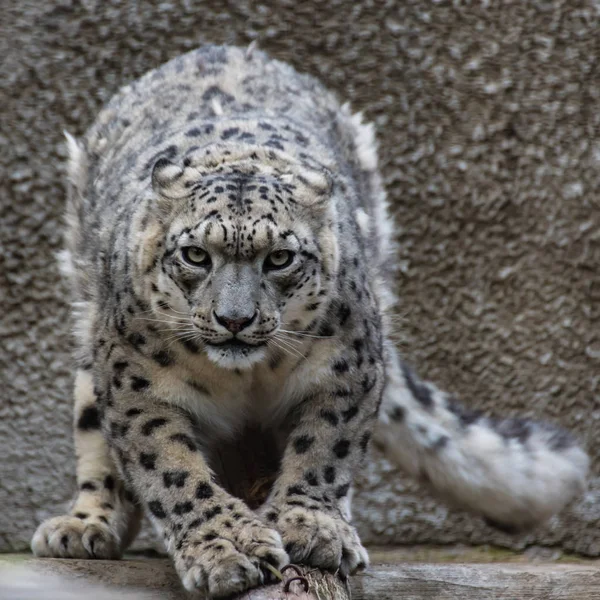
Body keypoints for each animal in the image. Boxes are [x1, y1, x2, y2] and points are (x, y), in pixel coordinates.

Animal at [30, 44, 588, 596]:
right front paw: (227, 547)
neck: (244, 378)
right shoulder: (137, 381)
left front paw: (312, 528)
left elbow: (325, 447)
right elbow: (171, 469)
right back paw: (84, 526)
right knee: (94, 435)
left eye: (279, 258)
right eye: (195, 255)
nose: (235, 319)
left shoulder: (346, 365)